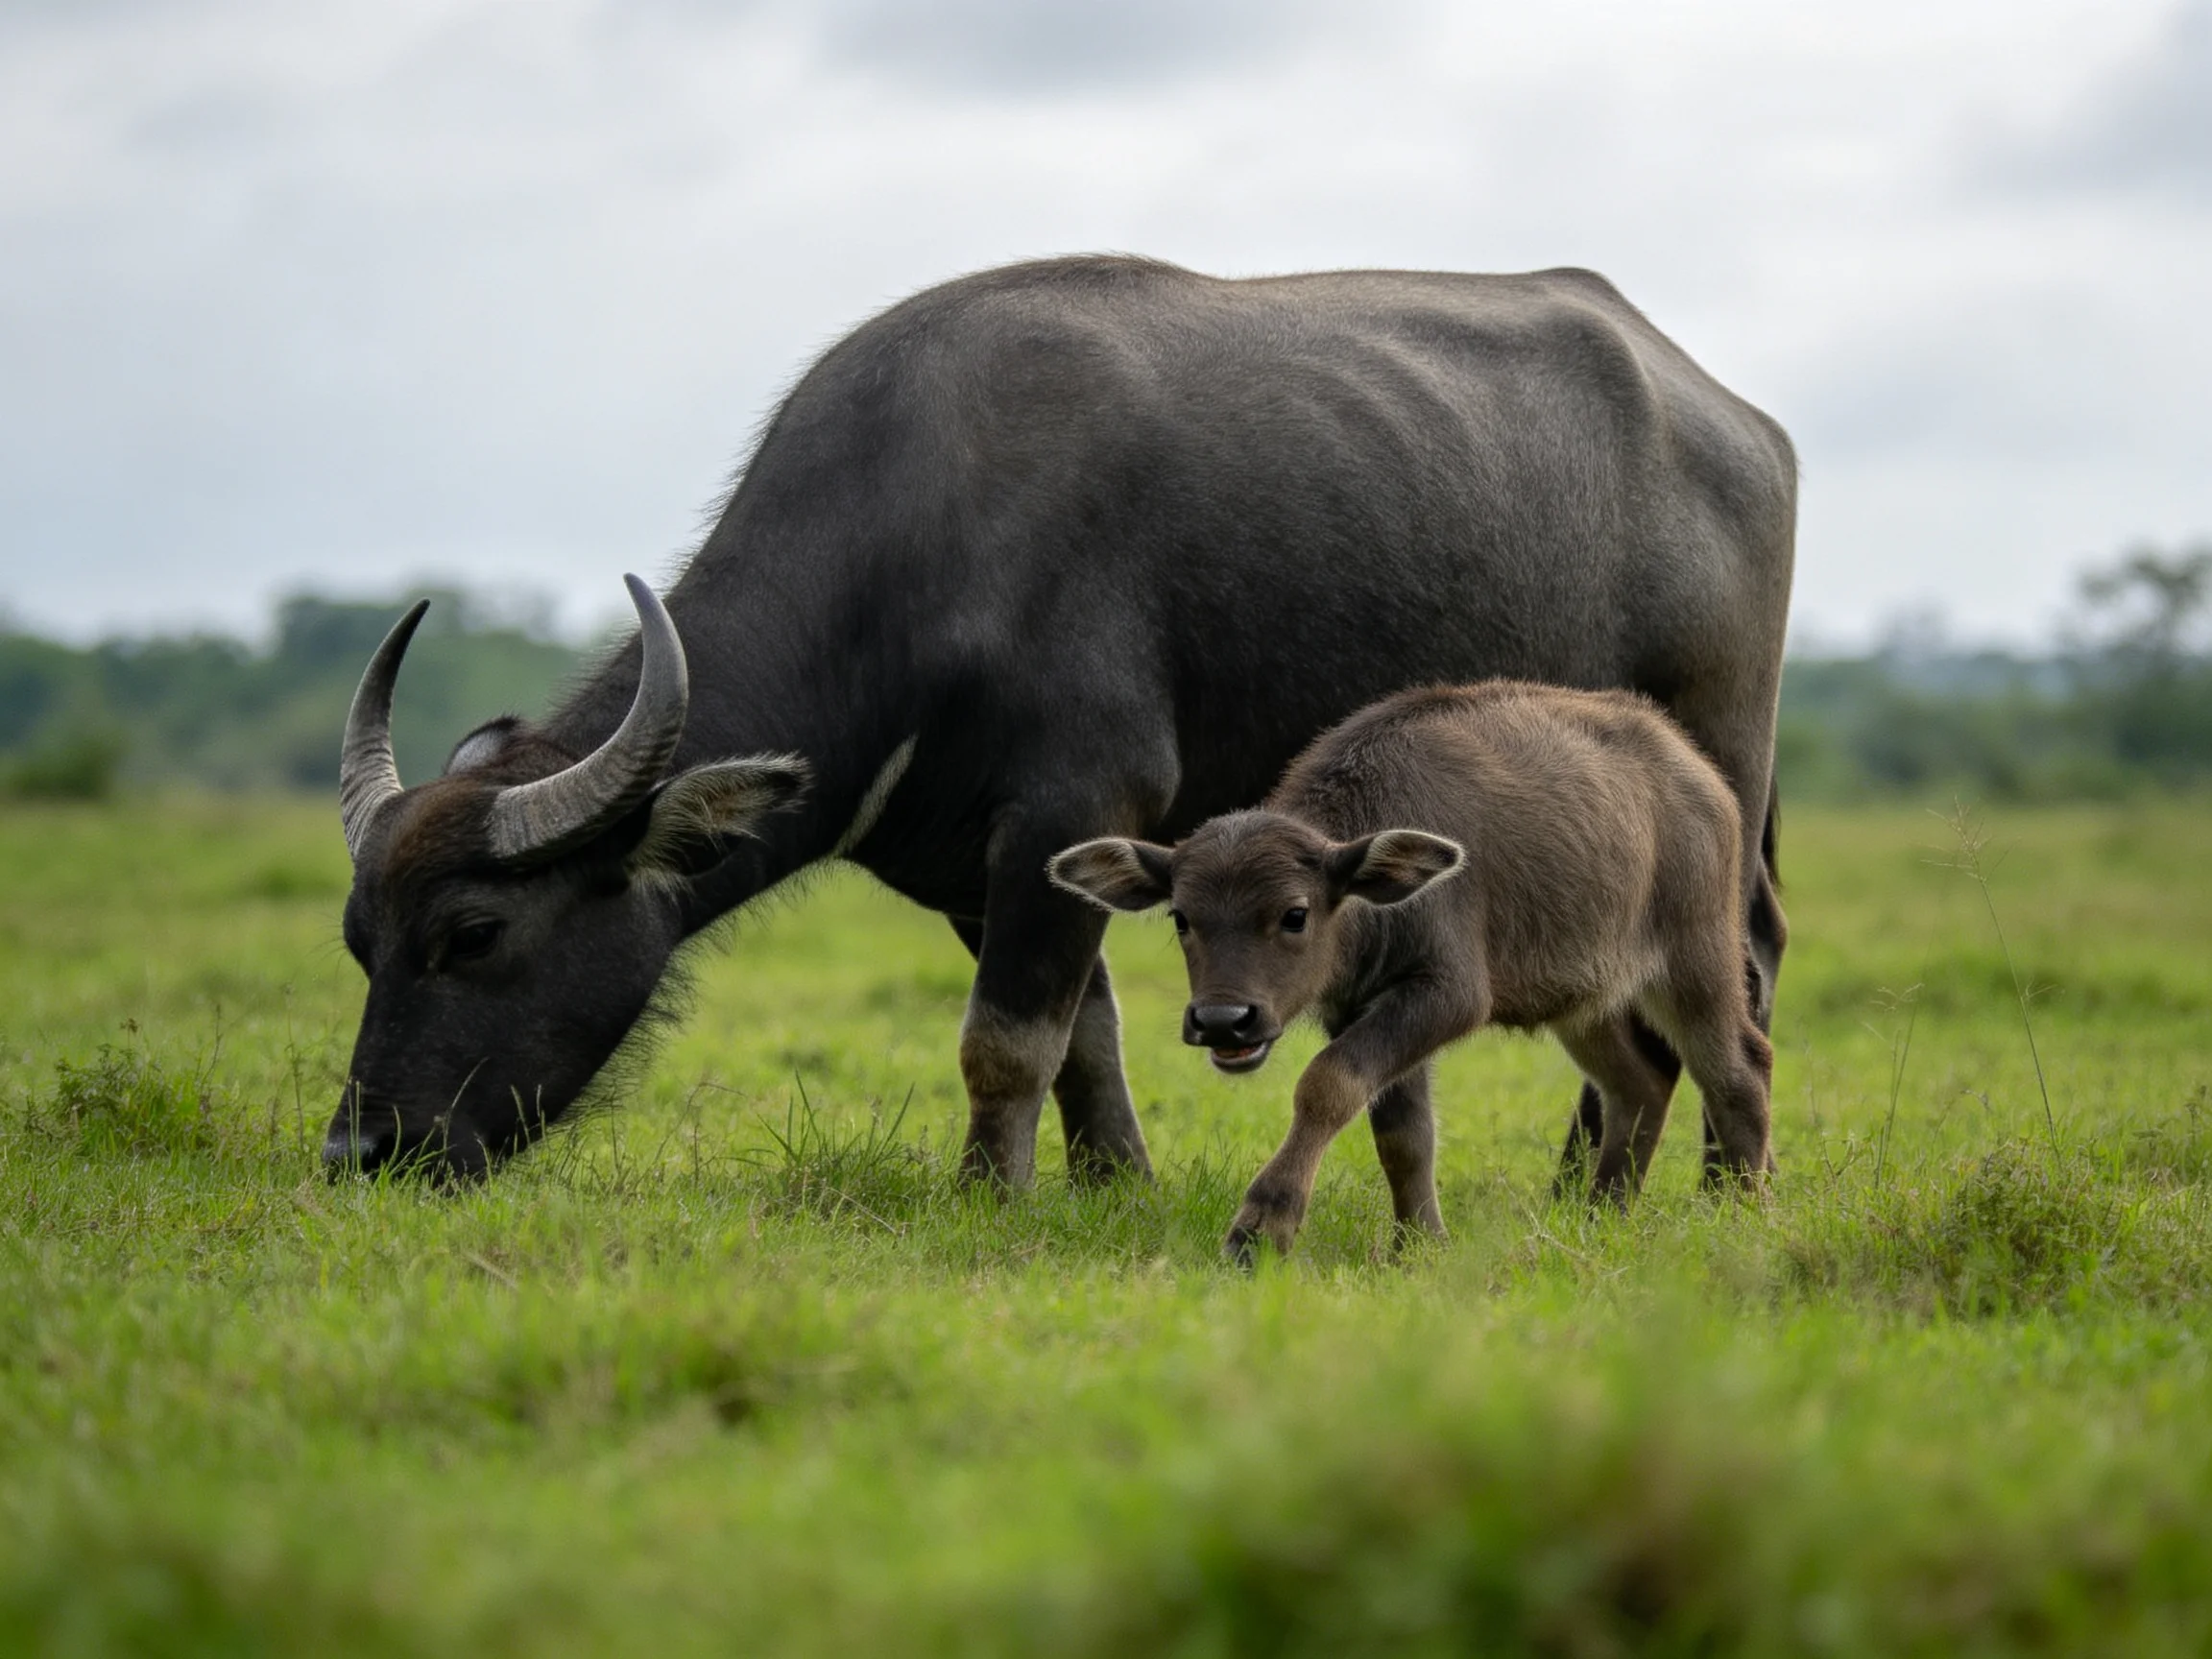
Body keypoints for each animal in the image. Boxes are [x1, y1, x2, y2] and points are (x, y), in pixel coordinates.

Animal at [323, 254, 1794, 1188]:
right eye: (359, 940)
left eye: (474, 932)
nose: (360, 1152)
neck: (919, 558)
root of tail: (1736, 418)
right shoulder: (994, 867)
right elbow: (1083, 1037)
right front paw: (1110, 1186)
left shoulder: (1071, 806)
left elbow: (1003, 1041)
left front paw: (989, 1196)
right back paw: (1596, 1185)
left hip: (1714, 771)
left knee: (1729, 975)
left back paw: (1690, 1186)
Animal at [1048, 680, 1776, 1263]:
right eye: (1182, 917)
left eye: (1294, 914)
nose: (1224, 1021)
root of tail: (1698, 772)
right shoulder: (1360, 1006)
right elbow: (1403, 1132)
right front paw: (1419, 1244)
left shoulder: (1447, 995)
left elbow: (1328, 1084)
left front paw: (1260, 1229)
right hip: (1584, 997)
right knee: (1640, 1081)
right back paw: (1603, 1214)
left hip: (1697, 961)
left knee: (1738, 1069)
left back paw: (1745, 1213)